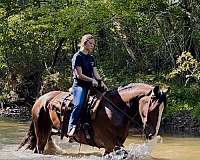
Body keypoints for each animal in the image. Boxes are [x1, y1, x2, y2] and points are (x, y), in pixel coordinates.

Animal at [18, 82, 166, 154]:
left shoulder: (117, 144)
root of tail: (40, 99)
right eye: (153, 108)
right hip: (41, 132)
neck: (116, 108)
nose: (152, 134)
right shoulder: (110, 144)